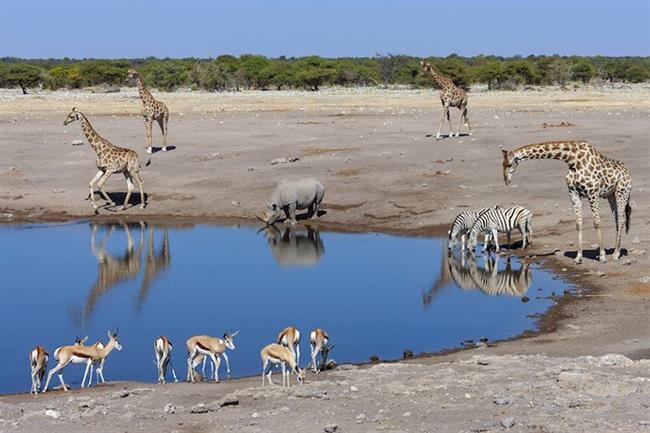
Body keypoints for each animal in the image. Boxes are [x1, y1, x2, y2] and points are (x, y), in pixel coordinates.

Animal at [498, 141, 632, 264]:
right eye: (502, 164)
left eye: (509, 164)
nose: (506, 181)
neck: (572, 159)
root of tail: (627, 172)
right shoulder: (573, 193)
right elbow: (578, 224)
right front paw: (578, 258)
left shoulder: (592, 193)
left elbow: (597, 222)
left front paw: (603, 256)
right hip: (610, 195)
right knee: (617, 219)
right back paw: (615, 250)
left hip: (622, 192)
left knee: (621, 219)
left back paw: (616, 254)